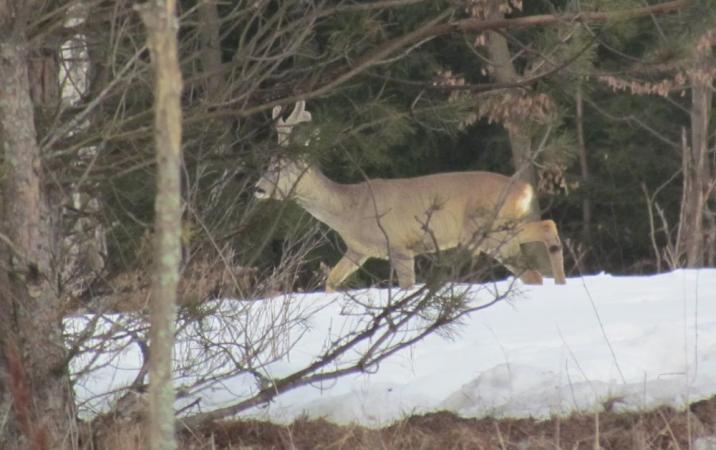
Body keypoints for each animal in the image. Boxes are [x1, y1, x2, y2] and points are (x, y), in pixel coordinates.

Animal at [255, 101, 568, 292]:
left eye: (279, 167)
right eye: (269, 163)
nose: (258, 188)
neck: (350, 210)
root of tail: (525, 189)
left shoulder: (399, 244)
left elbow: (406, 285)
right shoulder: (358, 250)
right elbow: (331, 281)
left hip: (488, 227)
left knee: (542, 244)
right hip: (498, 230)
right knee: (538, 256)